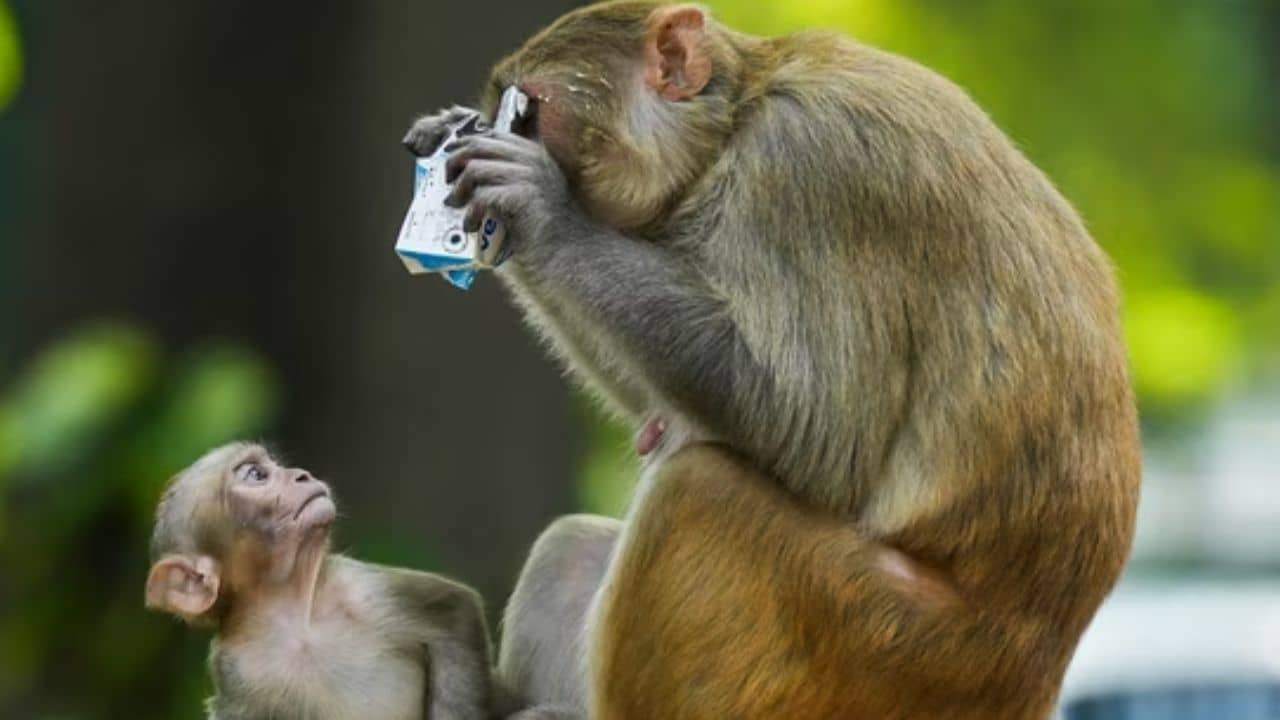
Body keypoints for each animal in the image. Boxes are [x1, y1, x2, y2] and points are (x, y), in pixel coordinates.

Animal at [144, 442, 496, 720]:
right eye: (256, 474)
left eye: (276, 465)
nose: (301, 474)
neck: (294, 615)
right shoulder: (235, 671)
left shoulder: (361, 588)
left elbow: (456, 612)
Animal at [404, 2, 1140, 718]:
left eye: (529, 110)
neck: (734, 124)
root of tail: (1028, 680)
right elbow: (662, 414)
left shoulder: (813, 163)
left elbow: (816, 430)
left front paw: (542, 210)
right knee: (576, 541)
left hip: (880, 650)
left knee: (695, 489)